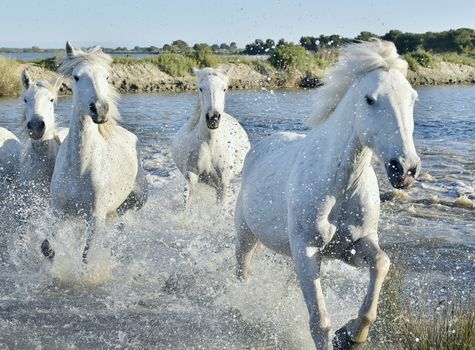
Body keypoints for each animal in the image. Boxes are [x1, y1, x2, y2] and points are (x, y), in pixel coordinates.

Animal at [48, 41, 147, 260]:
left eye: (107, 77)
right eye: (76, 77)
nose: (100, 109)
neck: (80, 168)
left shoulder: (95, 218)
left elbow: (86, 257)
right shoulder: (59, 213)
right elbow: (48, 248)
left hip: (137, 200)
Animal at [172, 68, 253, 204]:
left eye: (224, 89)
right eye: (200, 88)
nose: (212, 118)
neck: (210, 145)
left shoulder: (223, 183)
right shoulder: (191, 177)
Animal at [236, 39, 422, 348]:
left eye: (413, 99)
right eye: (370, 99)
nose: (405, 168)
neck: (339, 186)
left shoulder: (352, 247)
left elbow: (381, 264)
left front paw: (351, 335)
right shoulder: (307, 250)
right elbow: (319, 322)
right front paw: (340, 334)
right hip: (245, 235)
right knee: (242, 271)